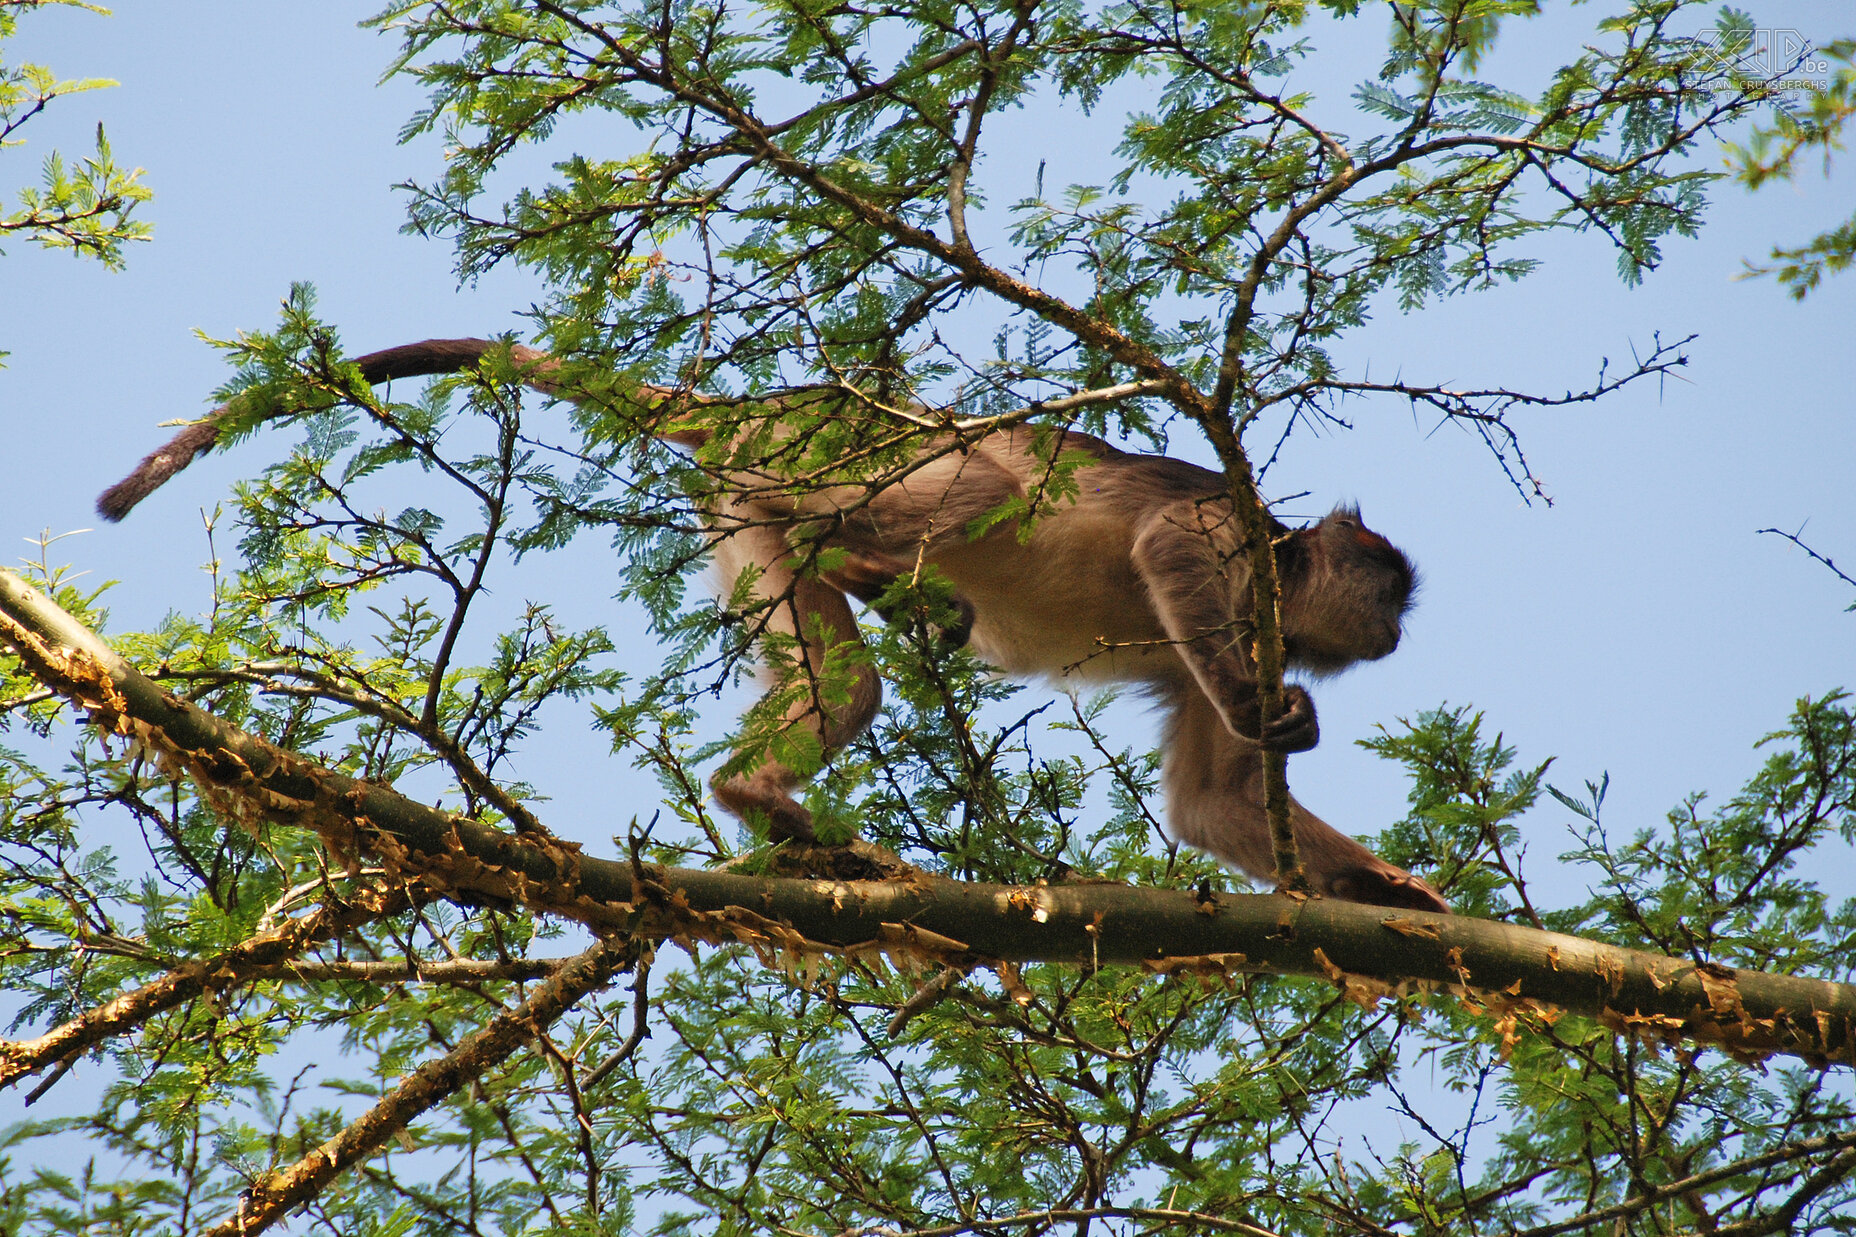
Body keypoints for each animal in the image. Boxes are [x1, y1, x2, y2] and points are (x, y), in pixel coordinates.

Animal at [97, 332, 1447, 910]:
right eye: (1387, 592)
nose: (1391, 631)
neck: (1275, 561)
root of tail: (767, 406)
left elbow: (1211, 807)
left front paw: (1392, 894)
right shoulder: (1225, 543)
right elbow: (1159, 545)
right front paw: (1275, 719)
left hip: (748, 502)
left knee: (841, 681)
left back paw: (761, 795)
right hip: (830, 456)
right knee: (989, 481)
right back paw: (878, 570)